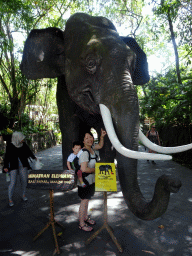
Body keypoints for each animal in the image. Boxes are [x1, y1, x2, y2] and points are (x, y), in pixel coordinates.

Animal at [20, 12, 192, 220]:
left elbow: (108, 137)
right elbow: (69, 129)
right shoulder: (63, 93)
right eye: (90, 63)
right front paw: (70, 182)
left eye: (133, 64)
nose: (174, 183)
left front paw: (105, 177)